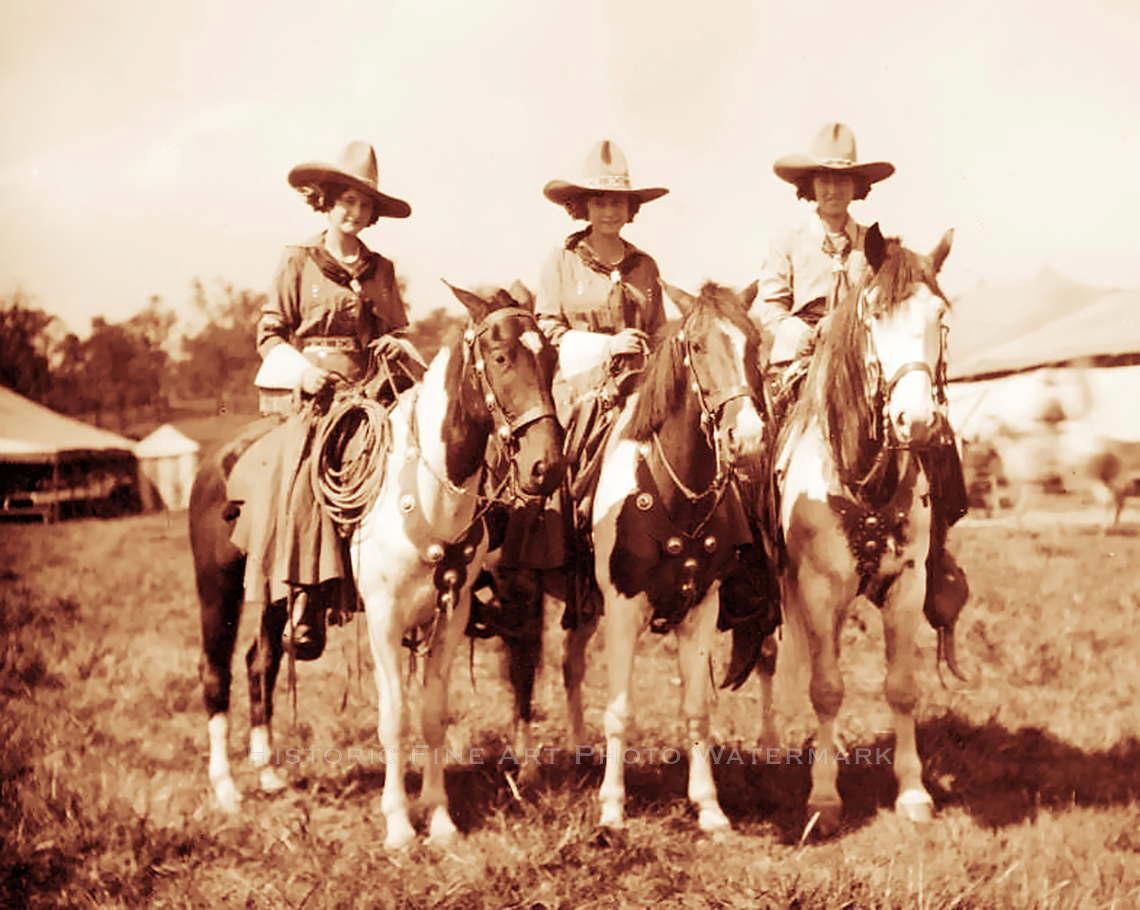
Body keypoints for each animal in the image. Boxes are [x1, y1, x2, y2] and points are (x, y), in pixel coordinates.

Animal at [191, 285, 565, 848]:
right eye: (501, 358)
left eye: (552, 359)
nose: (547, 466)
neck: (426, 492)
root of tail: (218, 459)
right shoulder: (385, 619)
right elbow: (394, 719)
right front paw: (399, 824)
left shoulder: (451, 616)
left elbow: (431, 714)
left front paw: (439, 817)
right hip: (217, 588)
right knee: (216, 673)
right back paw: (226, 789)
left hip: (278, 587)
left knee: (262, 661)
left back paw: (270, 773)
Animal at [556, 285, 770, 834]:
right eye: (695, 345)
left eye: (755, 343)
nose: (747, 436)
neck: (677, 494)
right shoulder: (623, 609)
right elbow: (619, 711)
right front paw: (612, 808)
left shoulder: (701, 609)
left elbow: (697, 709)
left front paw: (709, 807)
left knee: (570, 664)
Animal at [752, 224, 957, 839]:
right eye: (875, 314)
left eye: (941, 315)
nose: (917, 421)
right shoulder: (818, 592)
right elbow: (825, 688)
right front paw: (824, 796)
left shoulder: (906, 587)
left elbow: (902, 688)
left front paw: (912, 792)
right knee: (771, 656)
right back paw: (771, 744)